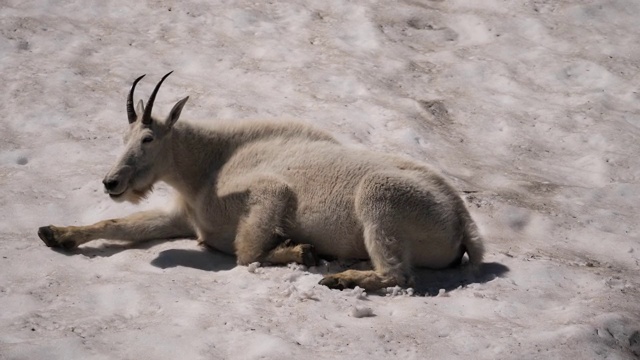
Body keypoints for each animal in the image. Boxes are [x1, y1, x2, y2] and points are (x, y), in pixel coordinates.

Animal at [37, 71, 482, 292]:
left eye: (147, 139)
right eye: (123, 137)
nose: (111, 182)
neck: (208, 165)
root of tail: (462, 221)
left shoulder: (270, 193)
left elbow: (246, 253)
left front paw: (299, 249)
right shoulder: (185, 218)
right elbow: (117, 225)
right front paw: (56, 233)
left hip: (381, 199)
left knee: (400, 277)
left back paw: (339, 278)